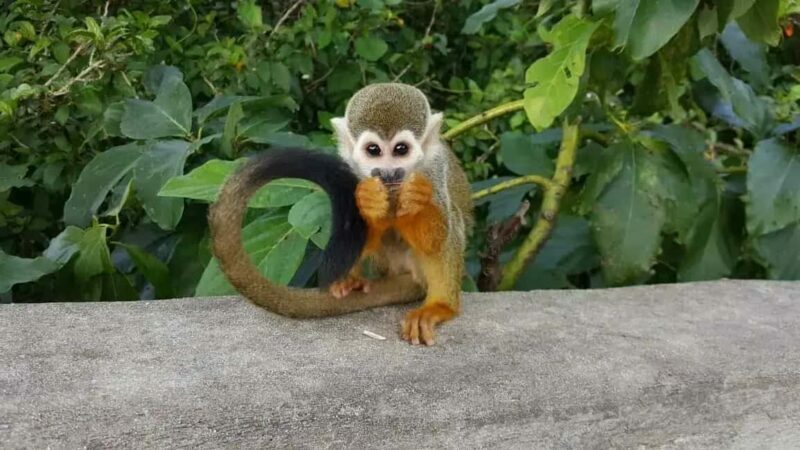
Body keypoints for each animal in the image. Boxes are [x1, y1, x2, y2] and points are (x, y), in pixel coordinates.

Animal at [209, 83, 473, 345]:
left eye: (401, 149)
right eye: (373, 150)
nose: (388, 173)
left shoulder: (433, 169)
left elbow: (436, 239)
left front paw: (416, 198)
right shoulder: (350, 172)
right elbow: (354, 232)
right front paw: (370, 202)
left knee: (452, 225)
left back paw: (440, 306)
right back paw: (350, 280)